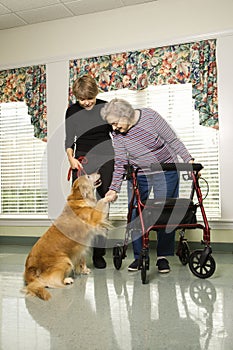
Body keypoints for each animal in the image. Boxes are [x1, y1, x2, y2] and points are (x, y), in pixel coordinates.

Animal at [23, 172, 110, 300]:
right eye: (88, 176)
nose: (98, 172)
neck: (79, 198)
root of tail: (29, 269)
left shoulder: (80, 247)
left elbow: (82, 259)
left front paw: (84, 270)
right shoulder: (94, 217)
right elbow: (101, 202)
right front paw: (109, 197)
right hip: (65, 260)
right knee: (48, 281)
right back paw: (67, 280)